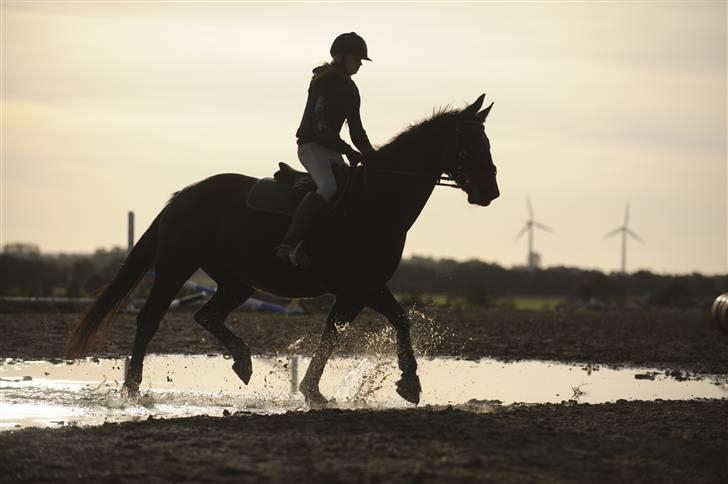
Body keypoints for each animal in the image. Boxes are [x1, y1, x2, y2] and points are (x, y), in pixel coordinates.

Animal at [65, 93, 500, 404]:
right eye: (470, 143)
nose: (490, 192)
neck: (377, 199)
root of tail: (184, 196)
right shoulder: (361, 286)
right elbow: (372, 325)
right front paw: (403, 384)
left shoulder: (360, 289)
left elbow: (354, 329)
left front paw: (325, 389)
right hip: (176, 266)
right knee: (150, 318)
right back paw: (133, 388)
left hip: (237, 282)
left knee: (207, 315)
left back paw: (242, 361)